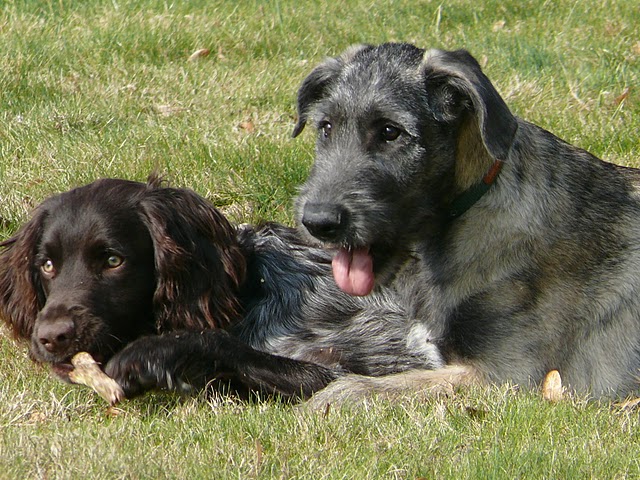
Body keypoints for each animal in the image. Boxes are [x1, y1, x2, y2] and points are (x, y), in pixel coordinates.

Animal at [0, 175, 443, 400]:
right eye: (47, 265)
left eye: (113, 260)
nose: (51, 336)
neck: (249, 293)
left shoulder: (341, 369)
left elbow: (216, 342)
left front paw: (150, 355)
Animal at [293, 42, 640, 406]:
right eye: (326, 127)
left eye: (390, 132)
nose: (318, 221)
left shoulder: (510, 377)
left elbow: (398, 384)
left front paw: (338, 394)